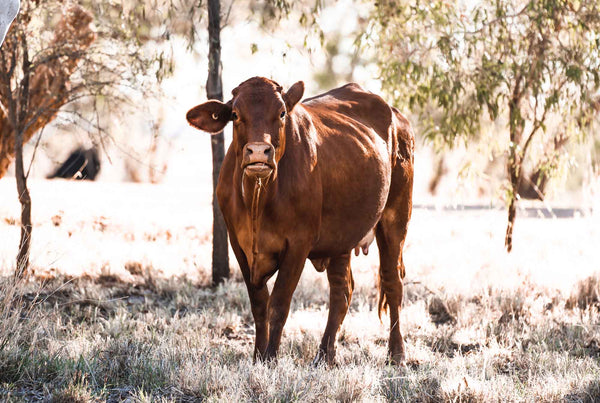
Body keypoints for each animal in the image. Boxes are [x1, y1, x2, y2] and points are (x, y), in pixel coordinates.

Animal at [188, 77, 412, 368]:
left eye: (282, 113)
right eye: (235, 114)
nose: (258, 151)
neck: (258, 200)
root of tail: (395, 115)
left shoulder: (298, 244)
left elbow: (279, 304)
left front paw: (271, 359)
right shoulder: (238, 244)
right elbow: (259, 305)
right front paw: (258, 357)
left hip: (395, 217)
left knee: (392, 282)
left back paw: (396, 354)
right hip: (341, 236)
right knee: (341, 291)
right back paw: (325, 355)